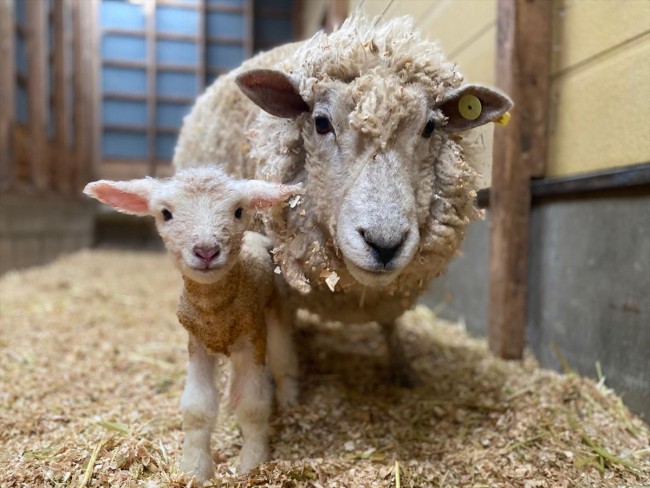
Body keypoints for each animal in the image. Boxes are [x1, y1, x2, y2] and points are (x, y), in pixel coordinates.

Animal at [83, 168, 302, 480]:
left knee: (284, 358)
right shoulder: (196, 343)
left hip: (276, 307)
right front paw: (193, 469)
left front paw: (253, 462)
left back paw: (289, 399)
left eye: (238, 211)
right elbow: (196, 408)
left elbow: (253, 405)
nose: (206, 251)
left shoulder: (253, 338)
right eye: (165, 213)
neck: (215, 311)